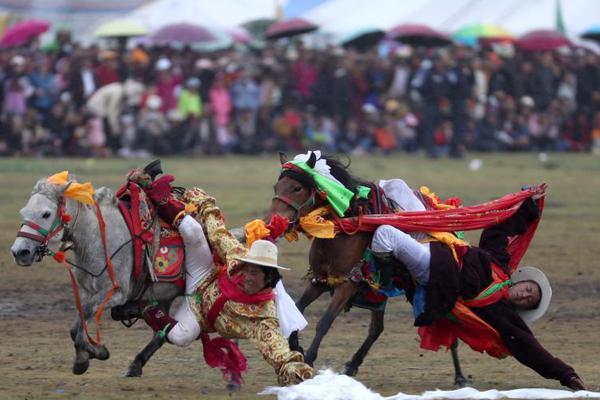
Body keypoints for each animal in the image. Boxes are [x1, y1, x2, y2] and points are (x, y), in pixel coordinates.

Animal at [11, 174, 180, 376]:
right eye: (23, 212)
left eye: (46, 214)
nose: (20, 252)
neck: (98, 239)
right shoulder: (87, 292)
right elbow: (77, 325)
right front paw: (88, 355)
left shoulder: (116, 294)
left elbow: (84, 317)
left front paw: (92, 354)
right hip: (165, 296)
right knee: (163, 332)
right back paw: (136, 365)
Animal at [266, 152, 468, 384]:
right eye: (276, 187)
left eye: (297, 188)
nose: (272, 221)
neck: (341, 233)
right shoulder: (319, 280)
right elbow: (298, 309)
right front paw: (295, 346)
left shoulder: (347, 284)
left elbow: (324, 322)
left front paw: (308, 359)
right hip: (379, 293)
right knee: (376, 329)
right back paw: (352, 365)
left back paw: (460, 376)